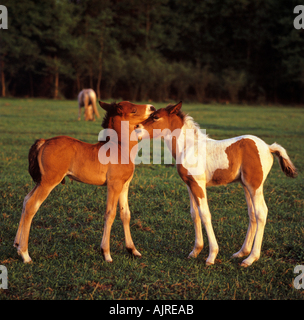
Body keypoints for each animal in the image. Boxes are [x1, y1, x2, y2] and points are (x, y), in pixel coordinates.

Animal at [13, 100, 157, 262]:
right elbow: (110, 213)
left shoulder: (124, 185)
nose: (152, 107)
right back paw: (25, 254)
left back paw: (17, 245)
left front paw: (132, 250)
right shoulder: (114, 185)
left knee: (26, 200)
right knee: (32, 205)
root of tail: (44, 142)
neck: (120, 148)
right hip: (49, 181)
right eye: (133, 110)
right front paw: (106, 253)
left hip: (41, 180)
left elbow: (125, 214)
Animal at [135, 101, 296, 266]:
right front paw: (195, 251)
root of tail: (269, 147)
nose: (136, 128)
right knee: (252, 214)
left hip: (254, 185)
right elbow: (195, 214)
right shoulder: (190, 185)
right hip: (246, 186)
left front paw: (211, 255)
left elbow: (205, 214)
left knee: (261, 212)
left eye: (156, 117)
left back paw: (250, 258)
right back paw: (241, 253)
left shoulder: (199, 185)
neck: (189, 147)